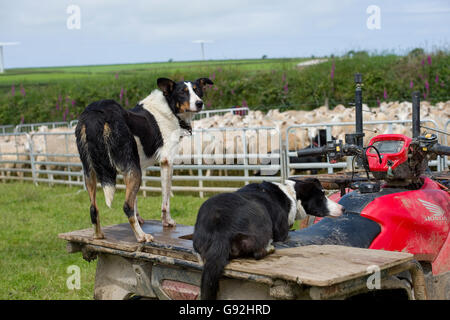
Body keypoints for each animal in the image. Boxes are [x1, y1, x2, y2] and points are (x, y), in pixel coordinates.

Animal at [75, 77, 213, 242]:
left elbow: (136, 199)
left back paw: (98, 235)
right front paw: (167, 222)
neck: (170, 108)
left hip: (90, 171)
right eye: (182, 92)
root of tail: (96, 114)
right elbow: (165, 199)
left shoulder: (138, 166)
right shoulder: (166, 162)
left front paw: (140, 218)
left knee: (93, 208)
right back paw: (141, 236)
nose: (199, 103)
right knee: (126, 206)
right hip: (131, 169)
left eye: (197, 90)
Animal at [192, 178, 342, 300]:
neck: (290, 194)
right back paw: (269, 247)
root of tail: (220, 231)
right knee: (258, 253)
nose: (343, 208)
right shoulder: (282, 232)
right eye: (322, 197)